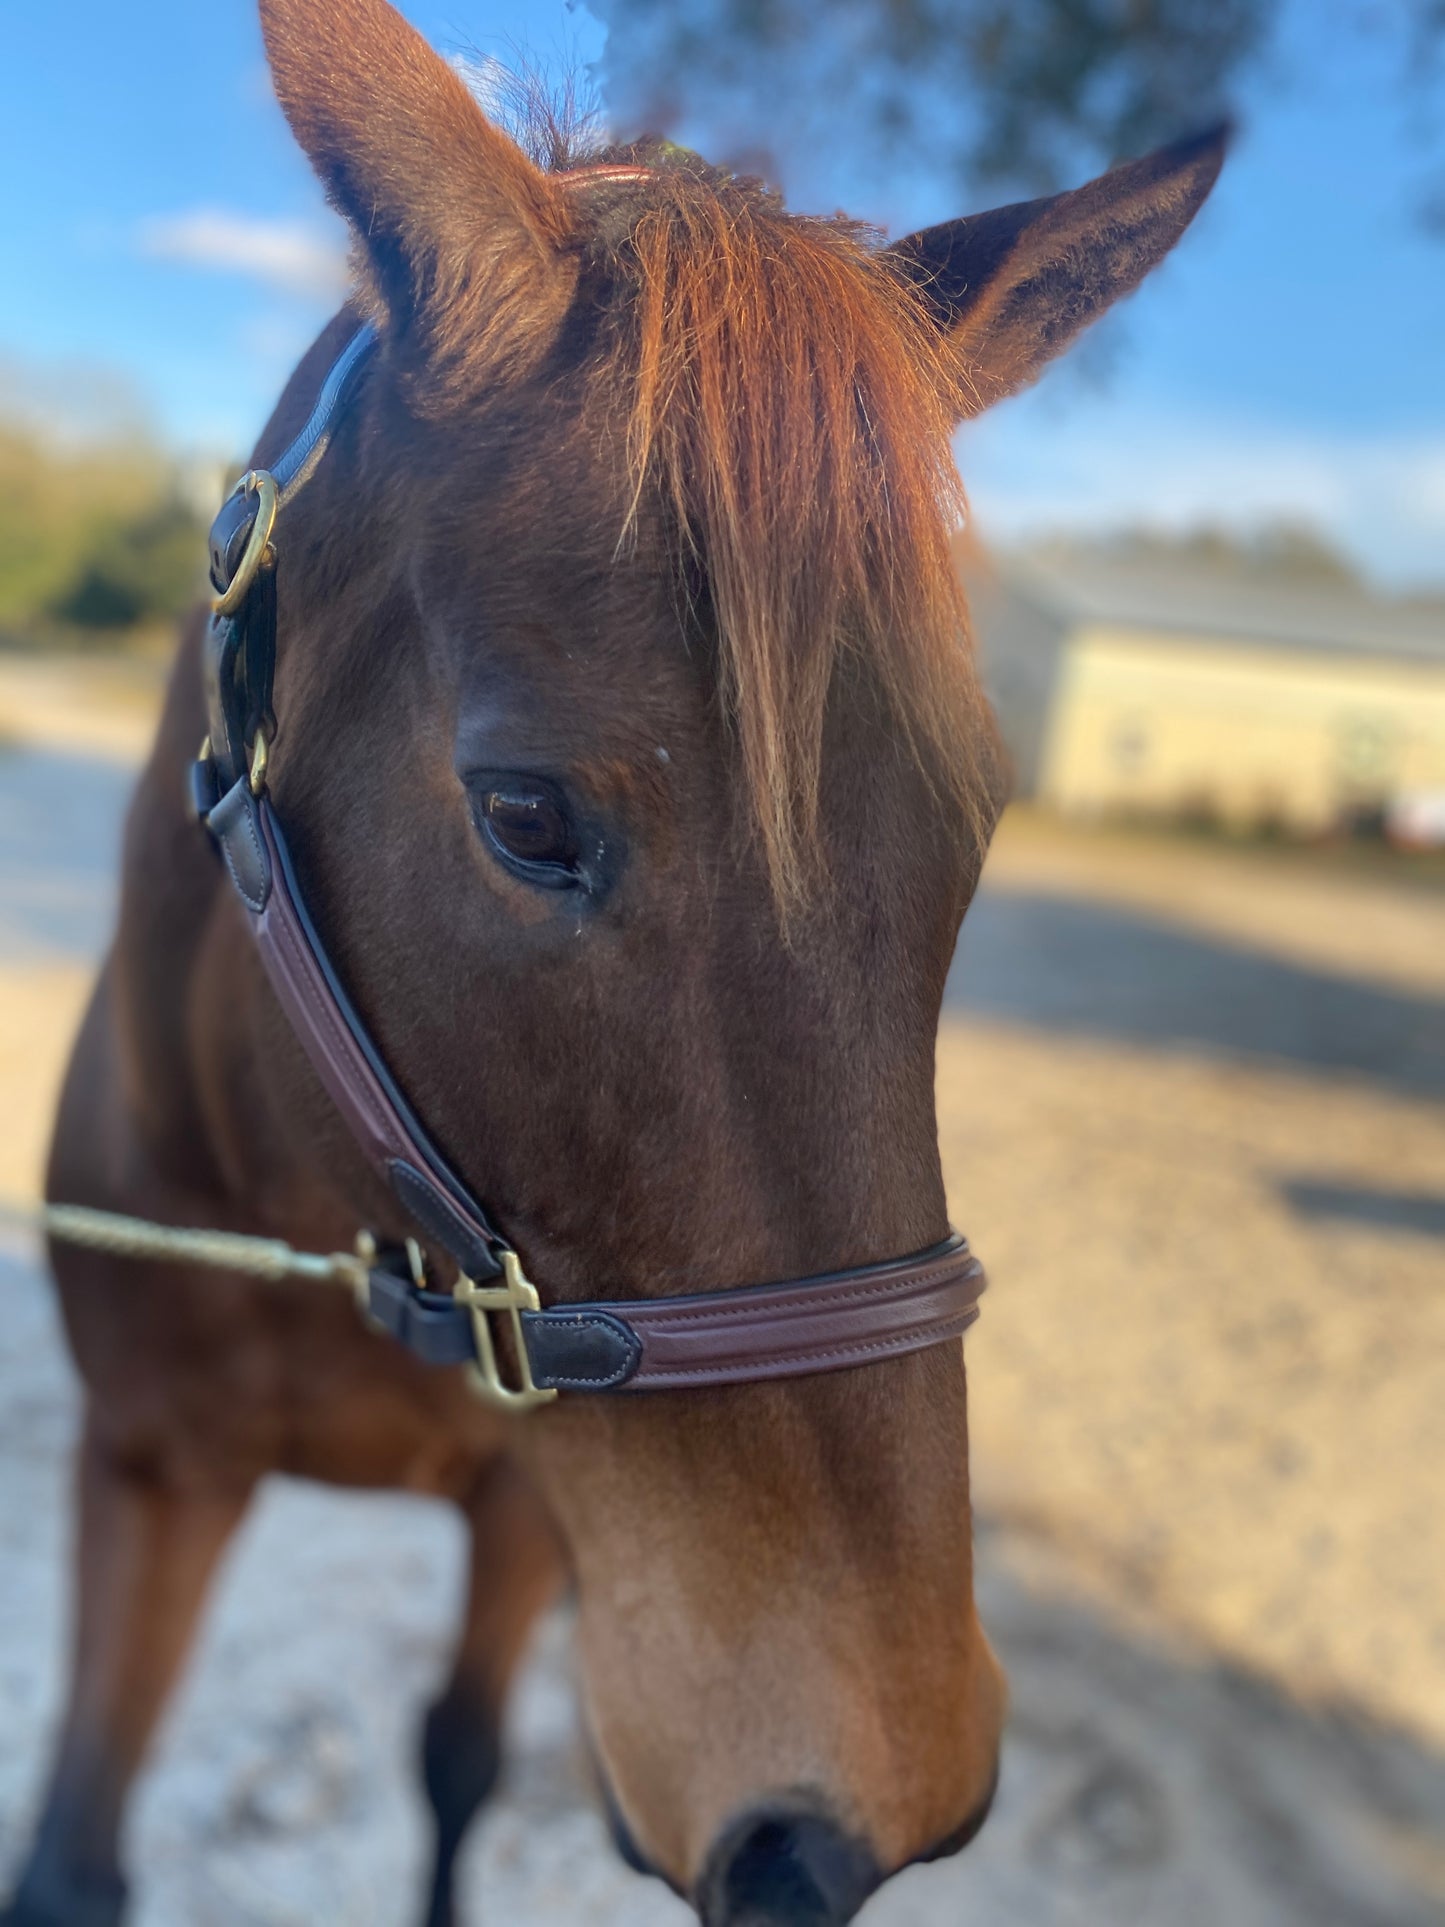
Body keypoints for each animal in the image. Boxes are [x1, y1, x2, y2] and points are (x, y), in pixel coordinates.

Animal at [2, 3, 1225, 1927]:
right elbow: (74, 1852)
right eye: (524, 813)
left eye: (979, 814)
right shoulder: (145, 1465)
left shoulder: (534, 1512)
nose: (873, 1795)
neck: (324, 1216)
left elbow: (455, 1757)